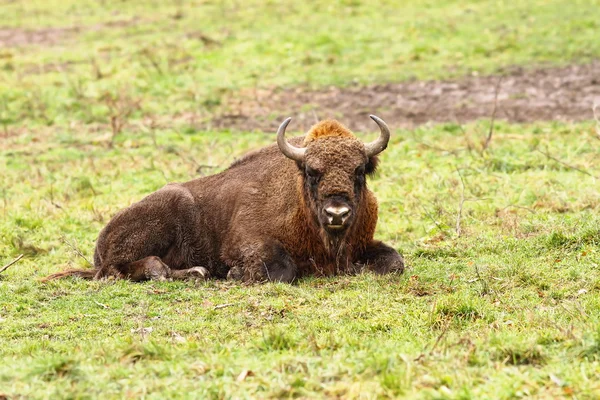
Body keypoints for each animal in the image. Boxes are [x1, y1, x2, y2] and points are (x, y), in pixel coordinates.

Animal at [45, 115, 404, 282]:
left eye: (359, 170)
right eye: (312, 171)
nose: (337, 213)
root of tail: (100, 242)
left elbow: (394, 262)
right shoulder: (246, 243)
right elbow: (281, 268)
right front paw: (235, 275)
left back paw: (195, 273)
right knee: (120, 269)